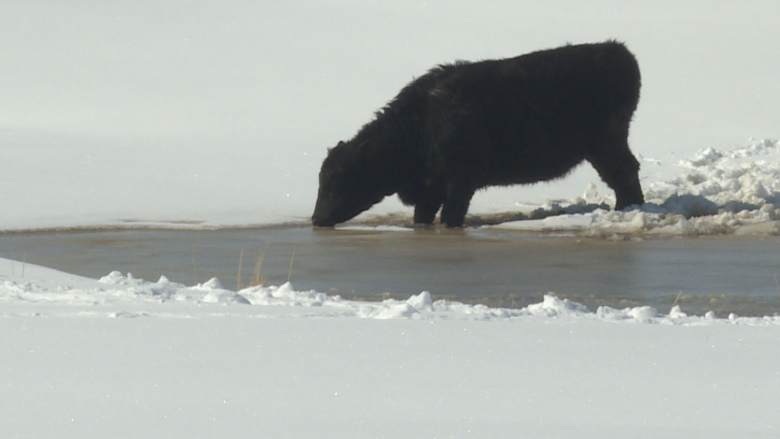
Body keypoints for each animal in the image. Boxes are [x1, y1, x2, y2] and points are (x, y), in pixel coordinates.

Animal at [314, 41, 644, 229]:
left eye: (338, 180)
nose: (317, 219)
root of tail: (617, 51)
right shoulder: (431, 189)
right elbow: (422, 219)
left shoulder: (460, 182)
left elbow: (451, 218)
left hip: (605, 144)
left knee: (625, 173)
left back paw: (627, 210)